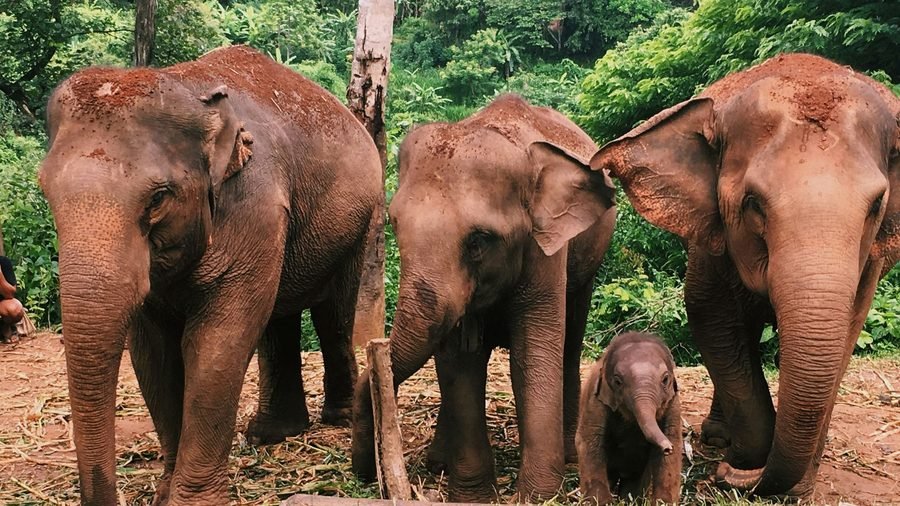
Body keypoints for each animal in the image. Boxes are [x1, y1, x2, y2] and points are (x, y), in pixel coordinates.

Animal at [38, 46, 382, 505]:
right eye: (45, 190)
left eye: (158, 199)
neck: (190, 91)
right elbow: (154, 351)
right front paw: (165, 493)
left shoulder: (254, 203)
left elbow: (218, 340)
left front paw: (191, 500)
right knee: (279, 317)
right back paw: (270, 435)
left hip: (360, 222)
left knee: (332, 314)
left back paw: (337, 419)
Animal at [351, 95, 618, 502]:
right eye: (395, 225)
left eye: (478, 241)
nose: (365, 474)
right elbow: (459, 360)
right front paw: (474, 497)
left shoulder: (545, 250)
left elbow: (533, 353)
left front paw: (537, 497)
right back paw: (438, 463)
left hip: (588, 262)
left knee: (570, 342)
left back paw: (570, 455)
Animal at [576, 332, 682, 505]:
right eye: (618, 381)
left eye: (665, 379)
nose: (667, 447)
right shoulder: (595, 401)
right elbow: (589, 443)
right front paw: (601, 502)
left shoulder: (673, 404)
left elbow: (674, 445)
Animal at [590, 53, 900, 498]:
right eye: (753, 202)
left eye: (876, 205)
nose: (724, 475)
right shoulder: (710, 238)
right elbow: (710, 316)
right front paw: (743, 462)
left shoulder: (868, 265)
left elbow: (848, 332)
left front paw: (794, 488)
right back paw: (718, 437)